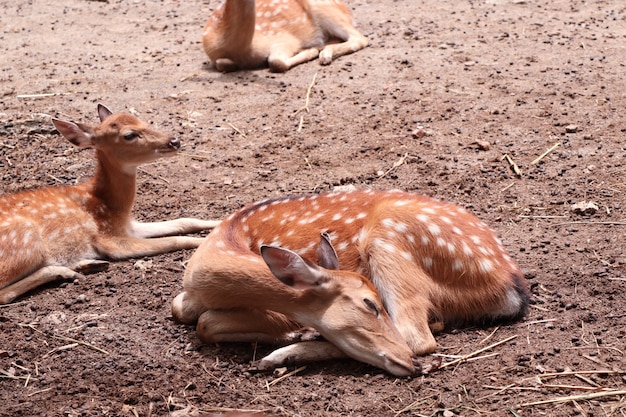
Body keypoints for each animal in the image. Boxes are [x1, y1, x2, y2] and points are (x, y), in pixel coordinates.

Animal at [0, 104, 219, 304]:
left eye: (145, 121)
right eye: (129, 135)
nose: (174, 141)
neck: (110, 205)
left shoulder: (129, 226)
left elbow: (184, 221)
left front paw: (219, 221)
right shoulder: (108, 238)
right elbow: (177, 239)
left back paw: (84, 265)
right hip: (26, 239)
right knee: (4, 294)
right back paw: (71, 270)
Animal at [171, 190, 528, 376]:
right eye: (369, 304)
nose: (411, 366)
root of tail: (511, 285)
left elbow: (204, 321)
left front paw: (289, 333)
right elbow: (184, 310)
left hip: (389, 239)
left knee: (416, 336)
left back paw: (281, 355)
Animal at [201, 0, 366, 71]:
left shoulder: (284, 39)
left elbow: (276, 62)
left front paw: (310, 51)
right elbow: (222, 63)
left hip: (325, 10)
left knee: (360, 38)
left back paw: (323, 54)